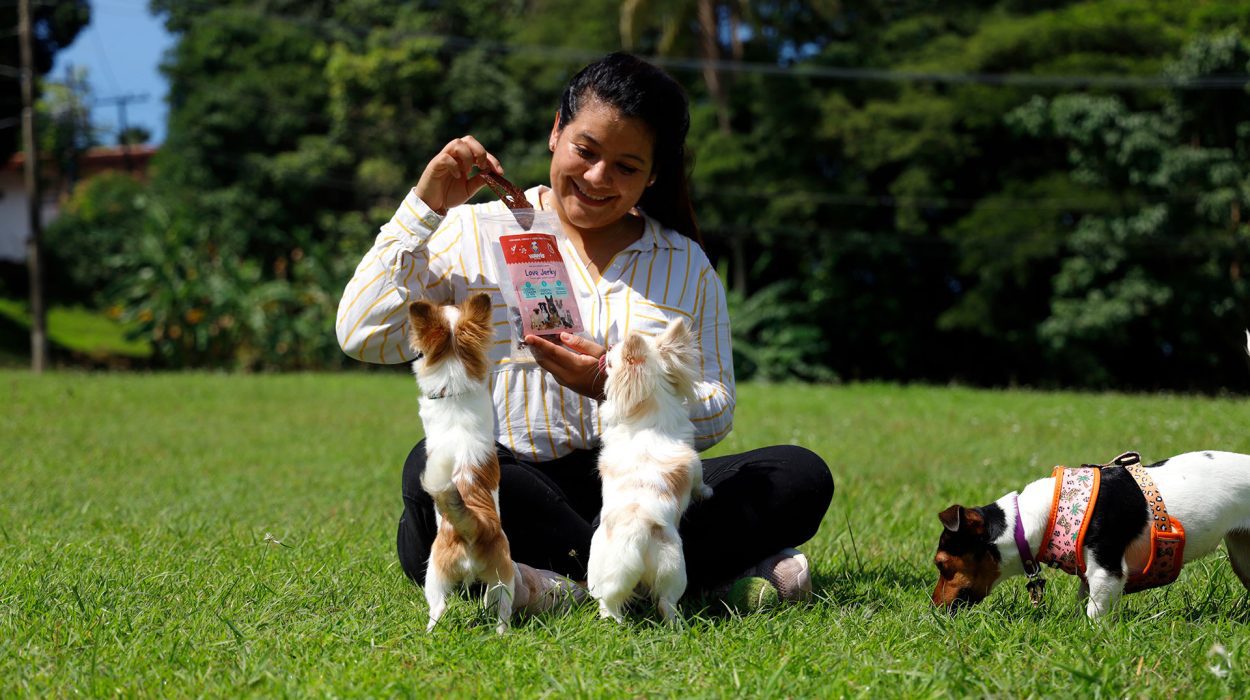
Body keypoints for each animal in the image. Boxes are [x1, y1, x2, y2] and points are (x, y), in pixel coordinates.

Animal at [408, 293, 515, 633]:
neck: (454, 392)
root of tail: (474, 526)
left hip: (435, 573)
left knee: (438, 607)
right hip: (501, 579)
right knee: (499, 614)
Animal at [587, 319, 713, 623]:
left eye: (611, 360)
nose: (608, 346)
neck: (648, 420)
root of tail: (637, 530)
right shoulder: (694, 463)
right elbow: (699, 480)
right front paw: (707, 492)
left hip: (622, 570)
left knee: (619, 605)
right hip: (669, 569)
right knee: (656, 603)